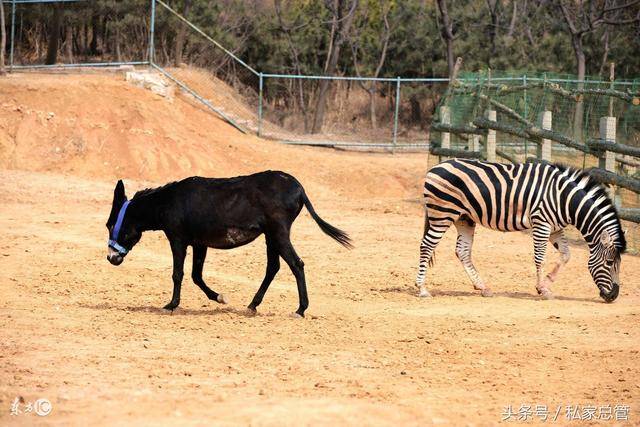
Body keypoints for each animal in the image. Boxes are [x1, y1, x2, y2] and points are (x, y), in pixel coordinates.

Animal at [416, 159, 624, 302]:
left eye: (618, 263)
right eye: (609, 262)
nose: (613, 296)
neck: (564, 199)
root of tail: (435, 167)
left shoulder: (556, 228)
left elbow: (566, 255)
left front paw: (546, 284)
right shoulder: (542, 223)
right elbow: (540, 258)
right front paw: (541, 289)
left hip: (464, 218)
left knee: (462, 251)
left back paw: (482, 287)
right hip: (443, 214)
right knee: (426, 246)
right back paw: (422, 289)